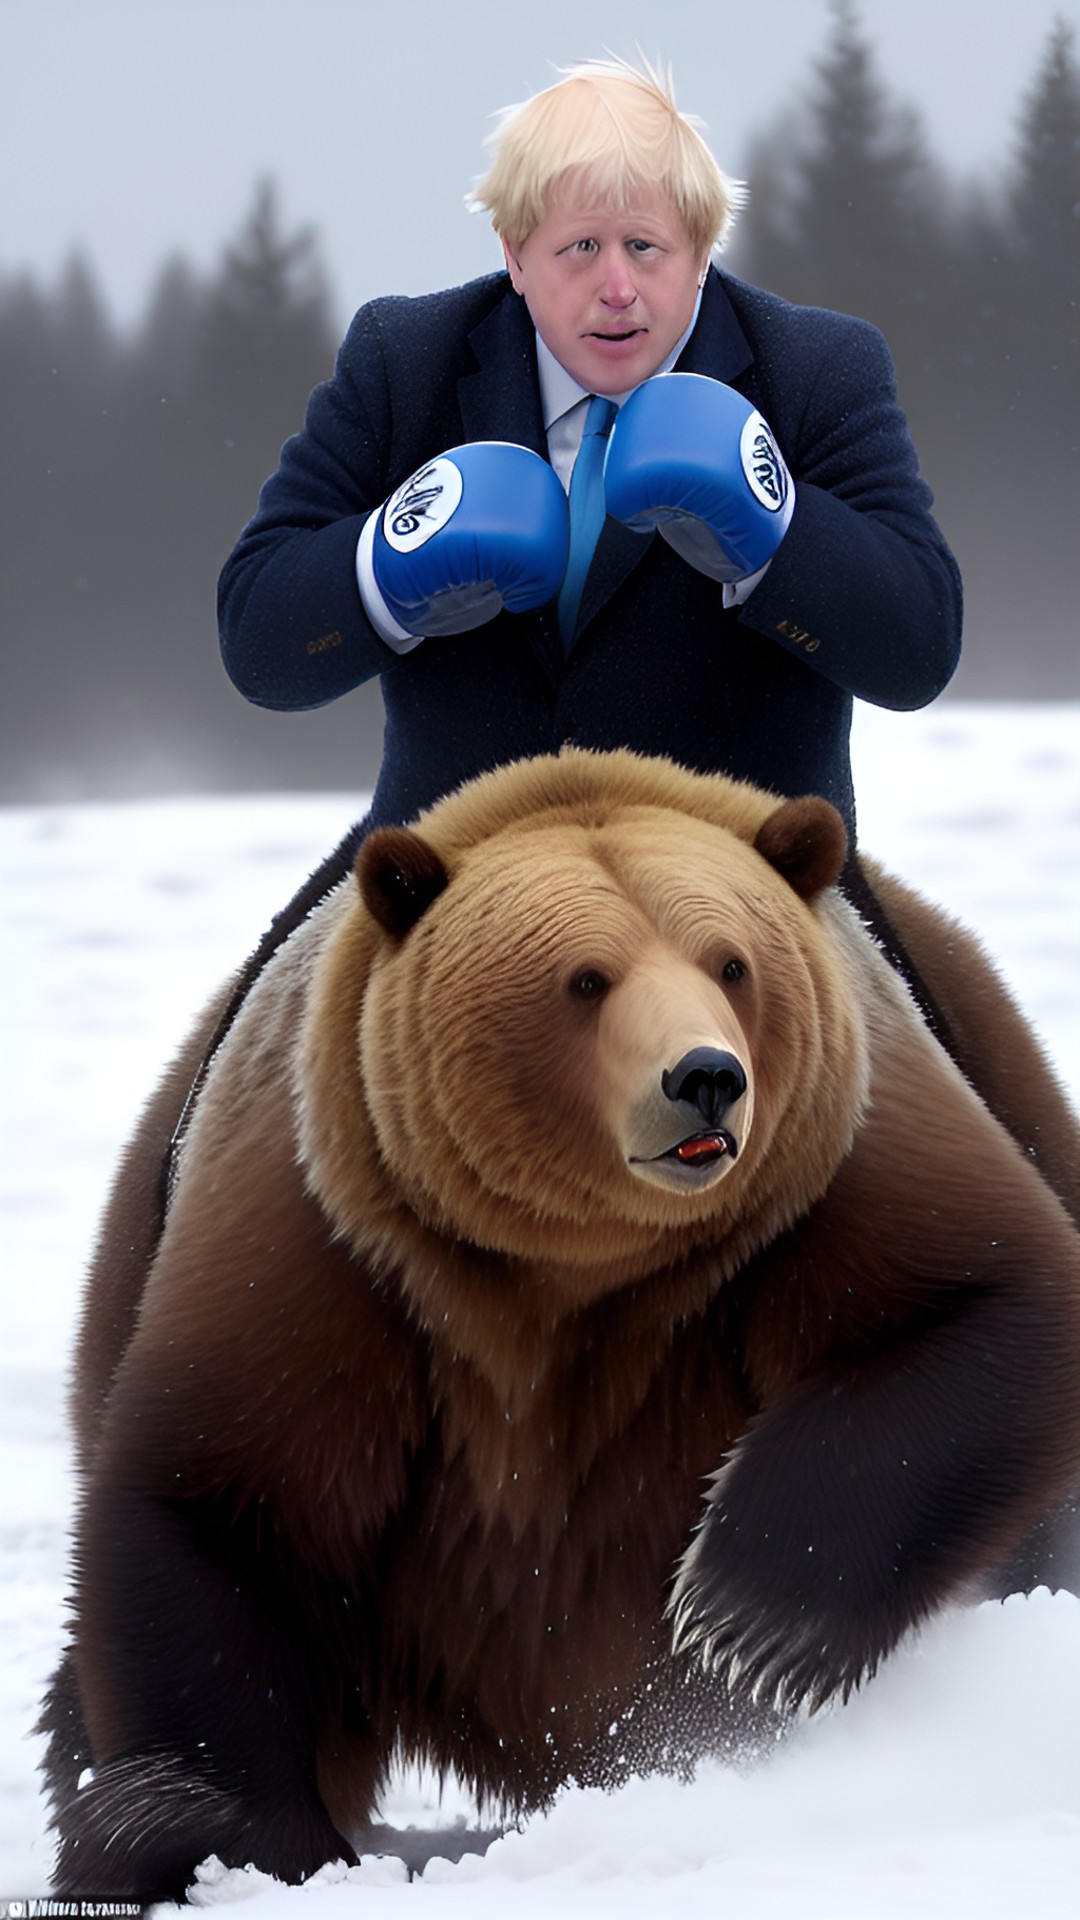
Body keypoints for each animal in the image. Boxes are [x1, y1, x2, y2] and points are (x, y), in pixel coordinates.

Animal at [39, 744, 1076, 1889]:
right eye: (586, 978)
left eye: (731, 963)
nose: (706, 1078)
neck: (576, 1256)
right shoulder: (332, 1235)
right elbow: (229, 1493)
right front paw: (200, 1831)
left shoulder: (827, 1164)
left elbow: (974, 1304)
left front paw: (744, 1619)